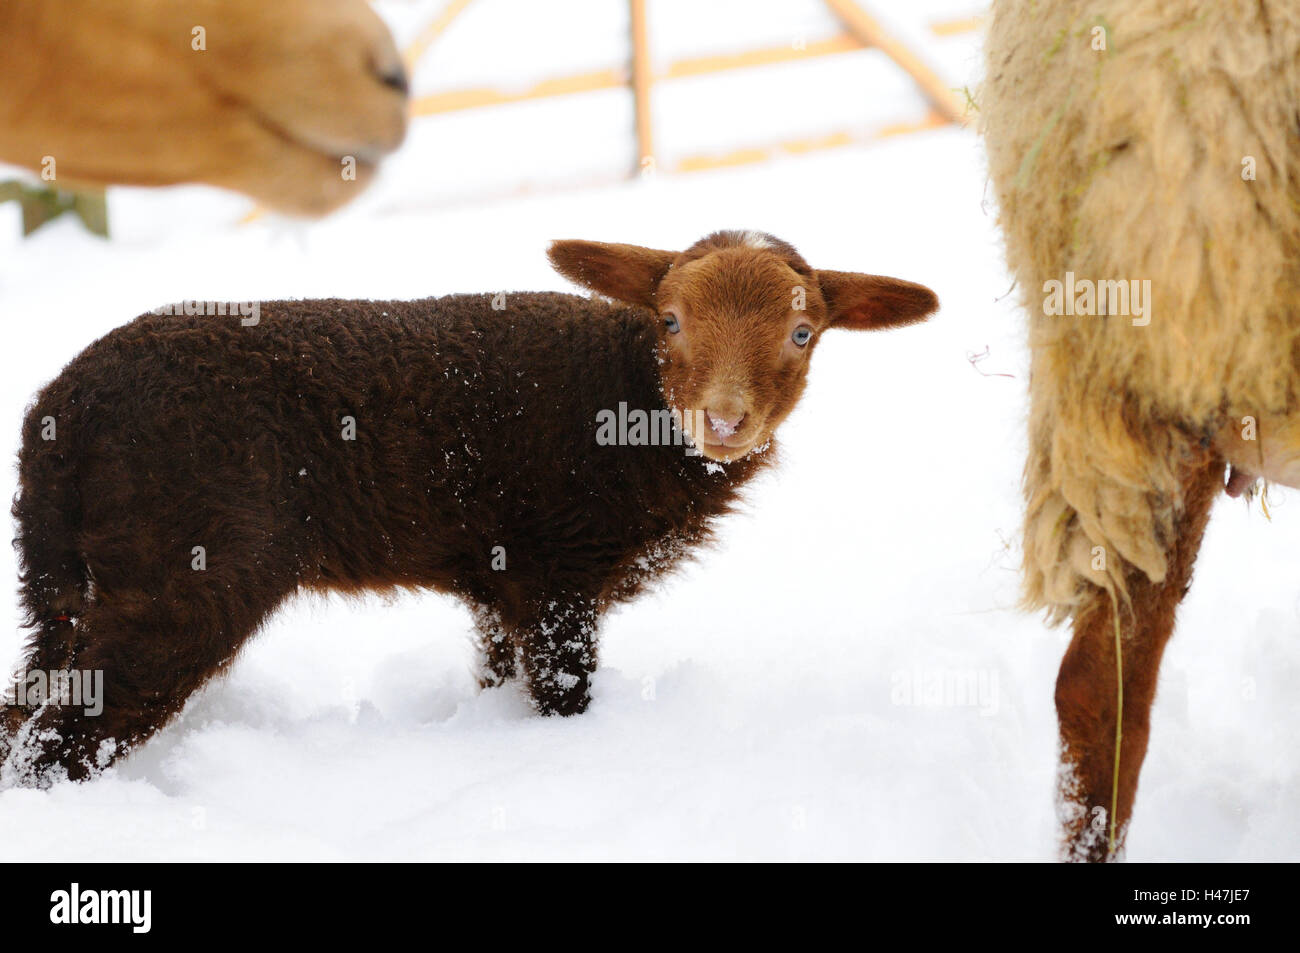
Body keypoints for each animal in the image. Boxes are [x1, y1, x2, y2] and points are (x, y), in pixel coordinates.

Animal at [0, 228, 935, 780]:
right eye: (668, 320)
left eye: (803, 333)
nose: (726, 420)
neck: (625, 400)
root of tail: (59, 415)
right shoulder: (558, 568)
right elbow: (563, 694)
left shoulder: (501, 583)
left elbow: (496, 674)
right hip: (186, 573)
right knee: (60, 737)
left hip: (65, 583)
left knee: (26, 707)